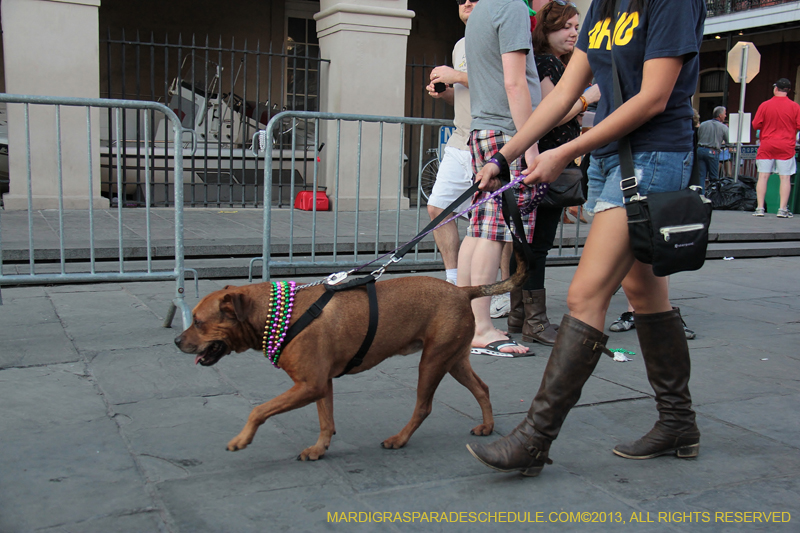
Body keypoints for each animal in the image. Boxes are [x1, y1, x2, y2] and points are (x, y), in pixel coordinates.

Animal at [173, 251, 528, 460]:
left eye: (199, 322)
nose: (176, 341)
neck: (281, 315)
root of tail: (462, 291)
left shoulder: (310, 385)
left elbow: (259, 410)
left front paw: (242, 439)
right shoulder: (321, 385)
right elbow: (326, 420)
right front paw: (320, 448)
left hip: (432, 362)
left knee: (424, 407)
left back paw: (399, 439)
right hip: (453, 359)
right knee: (482, 388)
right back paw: (487, 426)